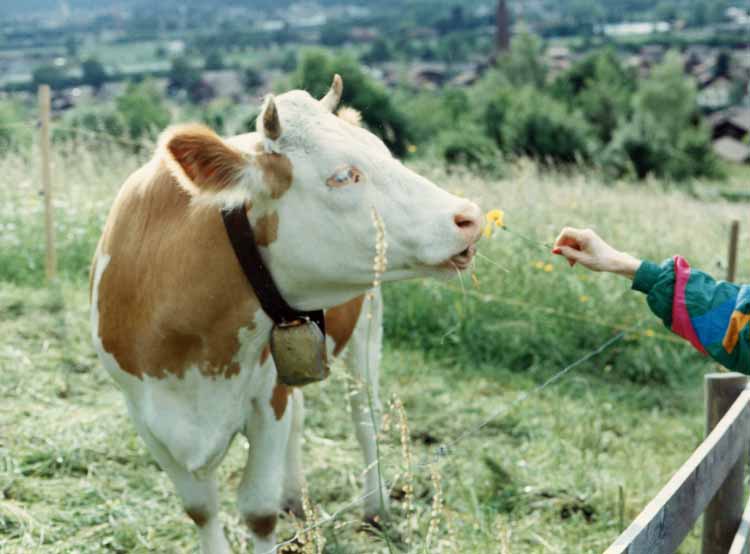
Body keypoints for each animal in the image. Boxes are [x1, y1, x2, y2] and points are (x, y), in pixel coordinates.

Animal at [91, 74, 484, 552]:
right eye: (343, 175)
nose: (469, 216)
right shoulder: (145, 414)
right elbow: (200, 508)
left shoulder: (266, 399)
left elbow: (257, 512)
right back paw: (295, 498)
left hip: (367, 326)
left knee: (364, 416)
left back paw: (375, 510)